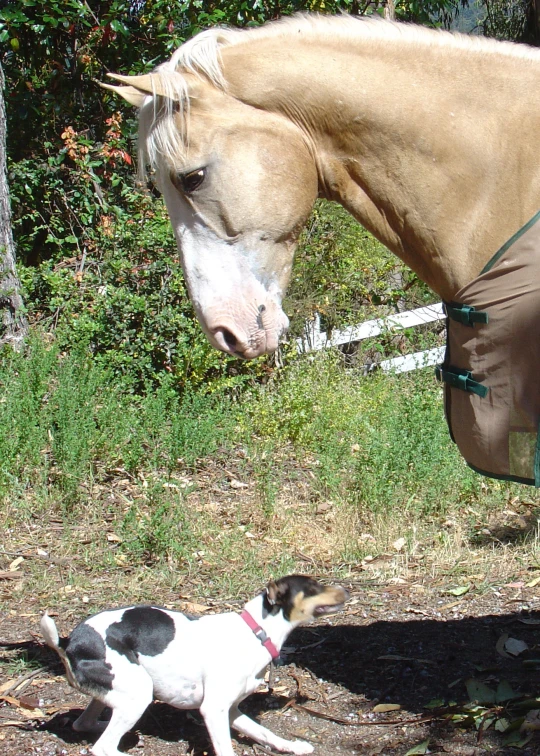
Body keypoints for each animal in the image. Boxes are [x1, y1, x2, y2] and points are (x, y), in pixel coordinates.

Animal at [41, 572, 346, 756]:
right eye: (312, 587)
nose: (346, 589)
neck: (256, 631)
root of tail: (68, 642)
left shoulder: (229, 711)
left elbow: (265, 732)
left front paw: (291, 746)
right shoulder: (213, 710)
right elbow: (226, 750)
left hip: (117, 691)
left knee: (83, 724)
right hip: (139, 693)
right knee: (102, 747)